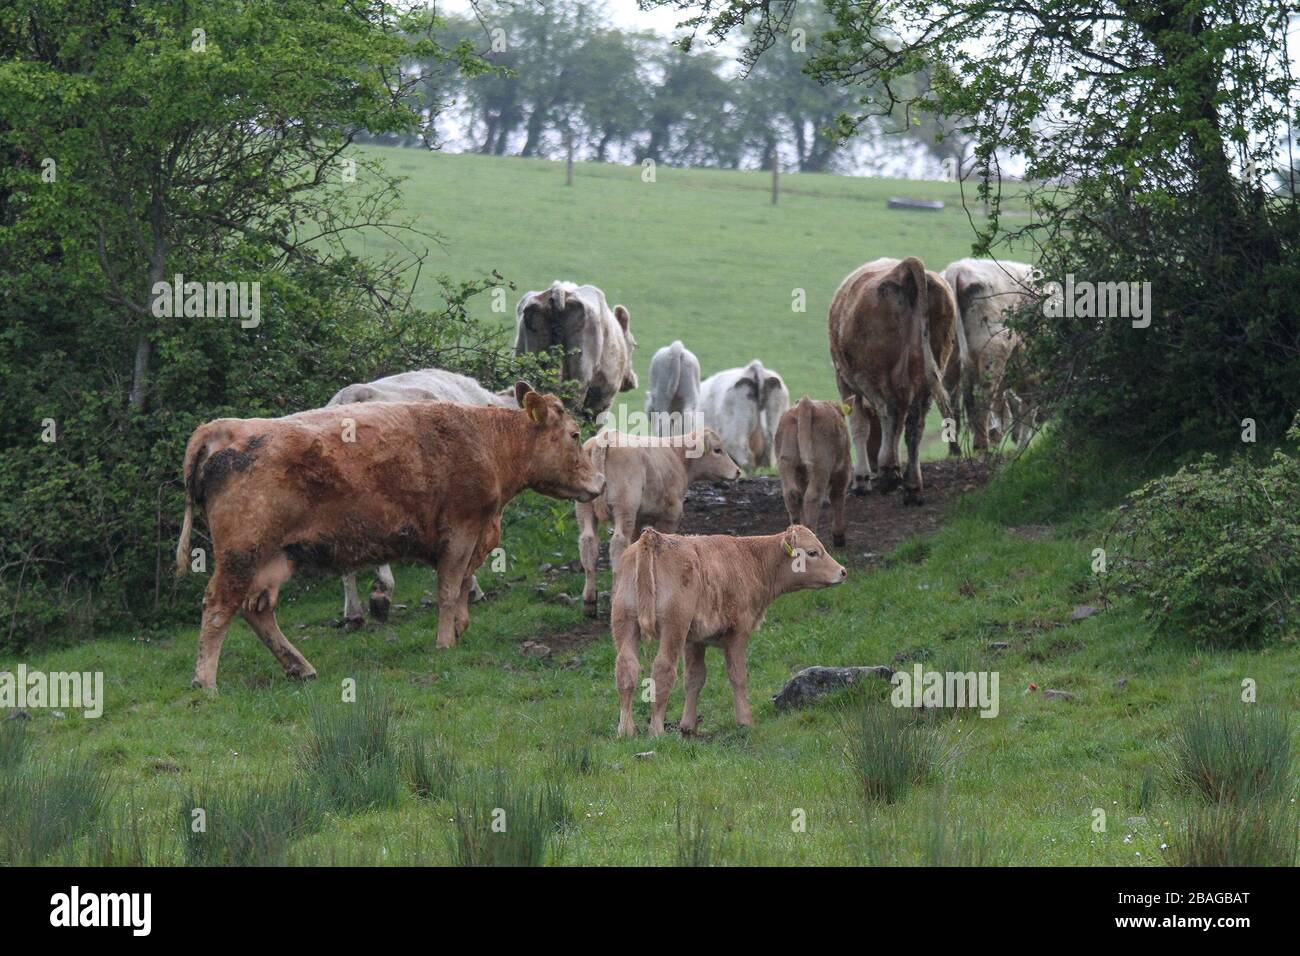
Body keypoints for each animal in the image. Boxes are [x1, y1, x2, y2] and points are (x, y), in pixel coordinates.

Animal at [576, 427, 740, 616]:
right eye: (717, 450)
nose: (737, 471)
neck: (678, 456)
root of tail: (605, 437)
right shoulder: (670, 515)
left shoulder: (639, 518)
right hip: (625, 506)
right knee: (618, 544)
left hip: (585, 509)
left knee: (588, 543)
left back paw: (589, 601)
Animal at [611, 525, 847, 737]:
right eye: (812, 552)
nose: (842, 571)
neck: (750, 559)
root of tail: (654, 538)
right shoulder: (738, 632)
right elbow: (738, 675)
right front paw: (745, 721)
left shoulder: (695, 640)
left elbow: (694, 678)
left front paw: (688, 726)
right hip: (674, 626)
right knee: (662, 670)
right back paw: (656, 731)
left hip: (626, 620)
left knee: (627, 668)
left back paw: (626, 730)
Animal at [774, 397, 852, 548]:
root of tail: (806, 403)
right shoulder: (843, 470)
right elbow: (837, 496)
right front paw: (839, 536)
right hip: (820, 466)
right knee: (812, 497)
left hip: (786, 462)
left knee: (792, 495)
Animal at [828, 257, 956, 505]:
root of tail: (903, 268)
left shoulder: (845, 381)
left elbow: (859, 426)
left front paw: (862, 479)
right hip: (930, 372)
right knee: (914, 424)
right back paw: (912, 485)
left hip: (877, 373)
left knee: (890, 411)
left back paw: (888, 472)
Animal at [941, 258, 1037, 452]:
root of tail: (959, 267)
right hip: (994, 347)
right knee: (984, 395)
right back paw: (982, 444)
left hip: (950, 355)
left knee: (950, 394)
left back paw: (956, 449)